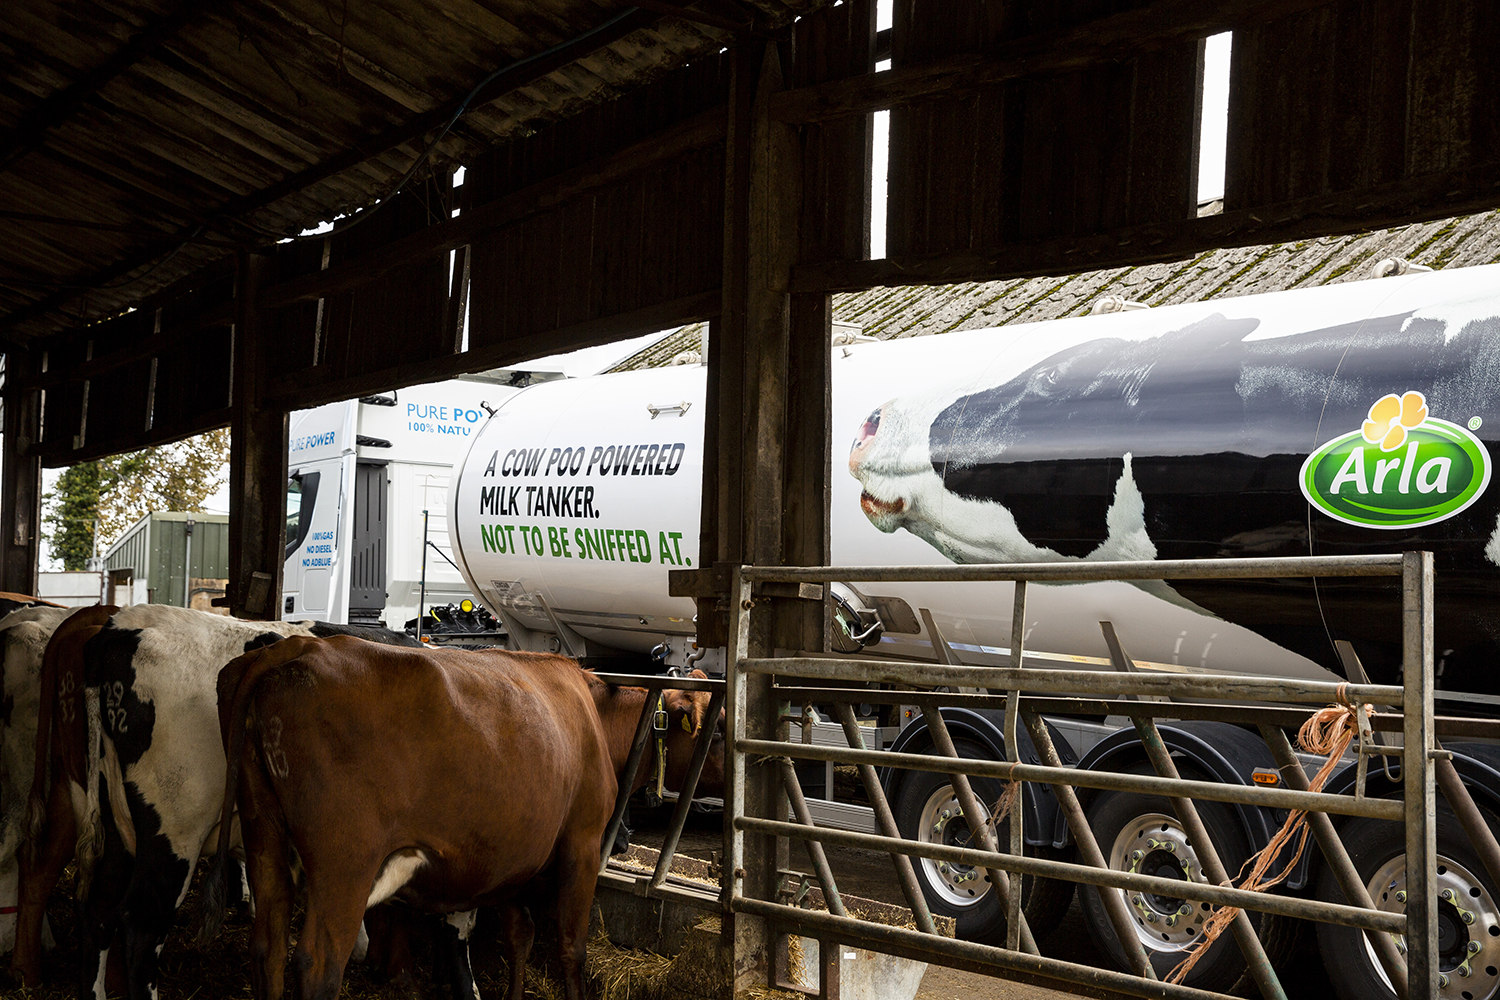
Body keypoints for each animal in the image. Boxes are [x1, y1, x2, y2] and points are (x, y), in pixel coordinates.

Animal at [201, 638, 621, 995]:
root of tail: (297, 646)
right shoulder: (583, 841)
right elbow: (572, 949)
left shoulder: (514, 865)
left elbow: (521, 934)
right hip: (345, 862)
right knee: (318, 963)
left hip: (263, 832)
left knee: (266, 947)